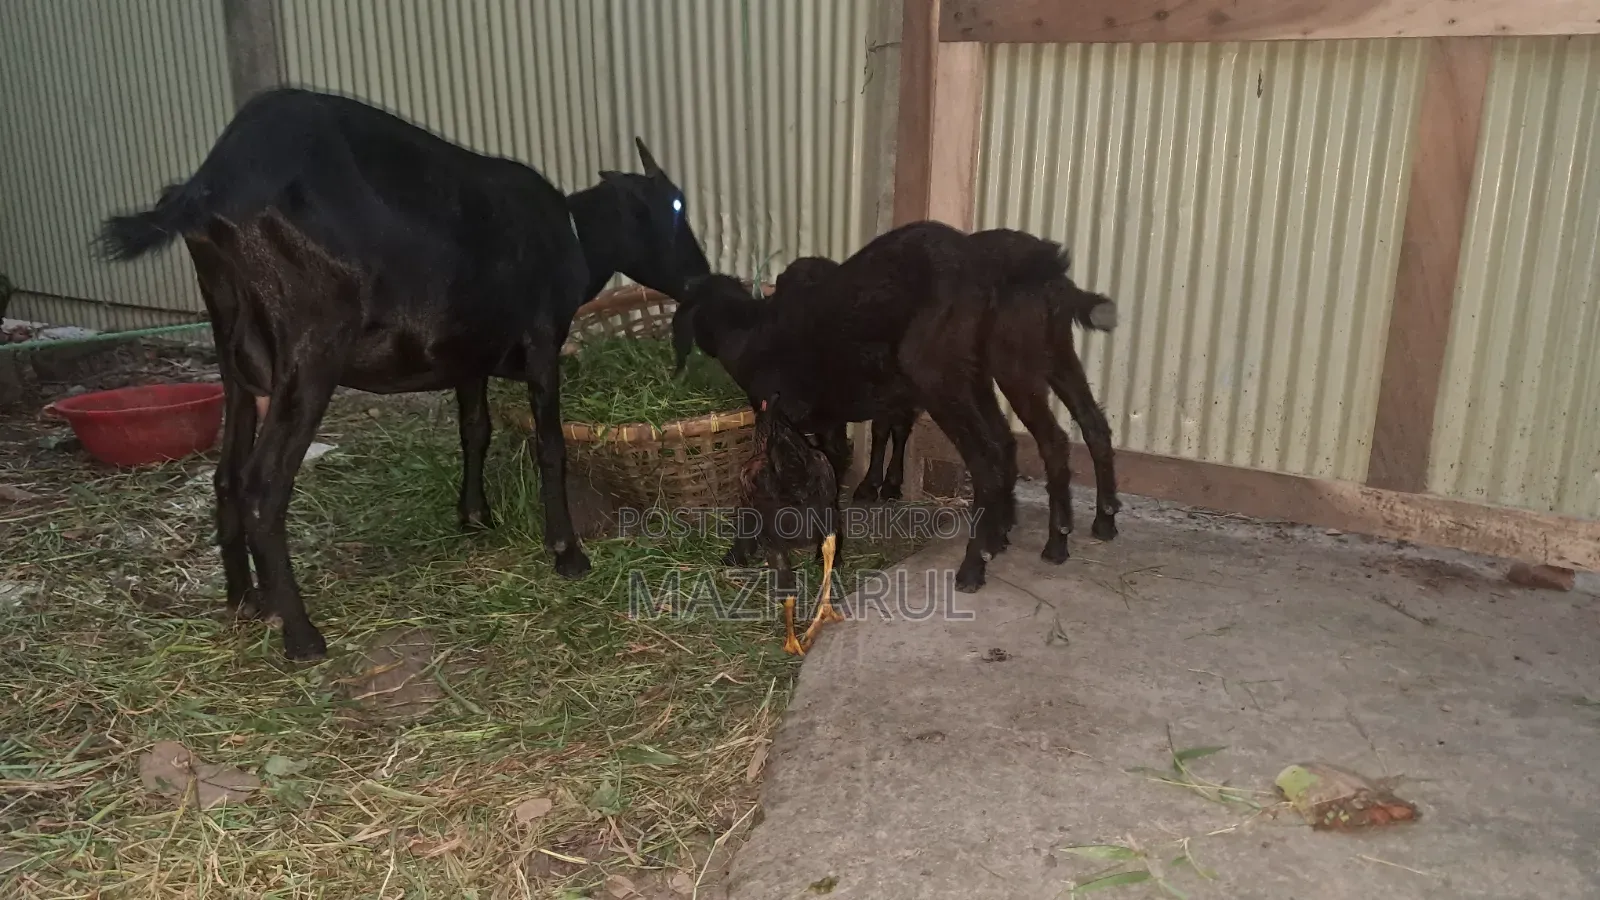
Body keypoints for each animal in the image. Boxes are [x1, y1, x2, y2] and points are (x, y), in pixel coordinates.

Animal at [97, 87, 710, 660]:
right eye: (677, 205)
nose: (703, 277)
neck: (572, 236)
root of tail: (205, 192)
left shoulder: (468, 354)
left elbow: (475, 429)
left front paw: (474, 516)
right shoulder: (540, 342)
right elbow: (550, 446)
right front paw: (568, 553)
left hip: (234, 354)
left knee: (226, 474)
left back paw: (246, 602)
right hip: (311, 350)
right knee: (262, 483)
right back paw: (301, 635)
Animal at [673, 221, 1113, 590]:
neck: (750, 334)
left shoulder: (776, 416)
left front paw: (742, 551)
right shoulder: (826, 419)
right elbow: (835, 462)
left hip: (955, 372)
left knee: (995, 457)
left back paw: (978, 564)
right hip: (1026, 359)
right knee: (1070, 429)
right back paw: (1079, 526)